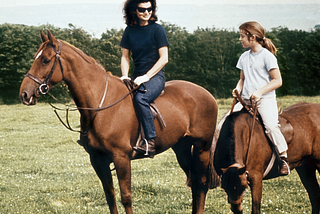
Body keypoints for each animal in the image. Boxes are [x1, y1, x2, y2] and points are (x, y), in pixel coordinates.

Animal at [18, 29, 220, 213]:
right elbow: (110, 196)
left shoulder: (121, 158)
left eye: (45, 60)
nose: (24, 94)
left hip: (202, 147)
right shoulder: (98, 160)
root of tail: (207, 94)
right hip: (182, 148)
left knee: (201, 184)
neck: (100, 105)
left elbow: (126, 197)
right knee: (194, 183)